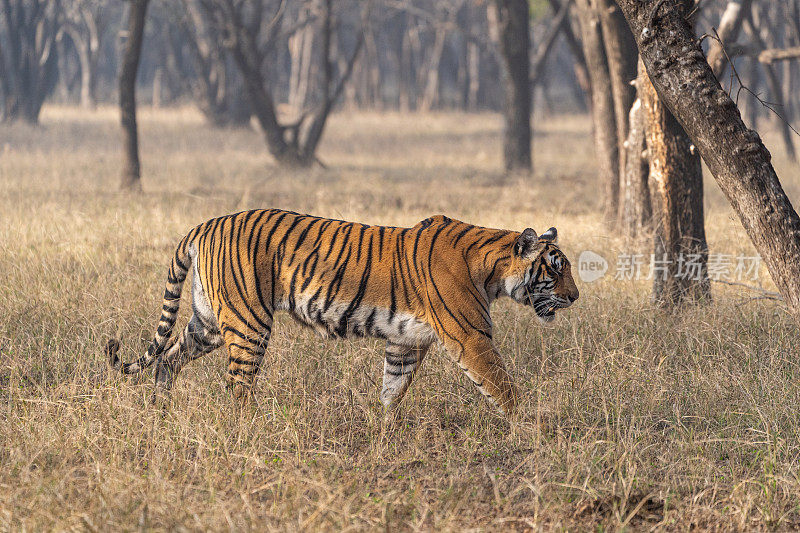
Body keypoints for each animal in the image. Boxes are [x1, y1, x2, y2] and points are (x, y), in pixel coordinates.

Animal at [108, 208, 580, 416]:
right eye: (556, 269)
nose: (575, 297)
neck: (492, 269)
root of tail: (205, 223)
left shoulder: (405, 342)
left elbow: (393, 388)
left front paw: (383, 429)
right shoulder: (471, 337)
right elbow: (502, 387)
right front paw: (529, 426)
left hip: (206, 322)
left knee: (166, 359)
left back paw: (160, 409)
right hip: (248, 324)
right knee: (236, 386)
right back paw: (248, 428)